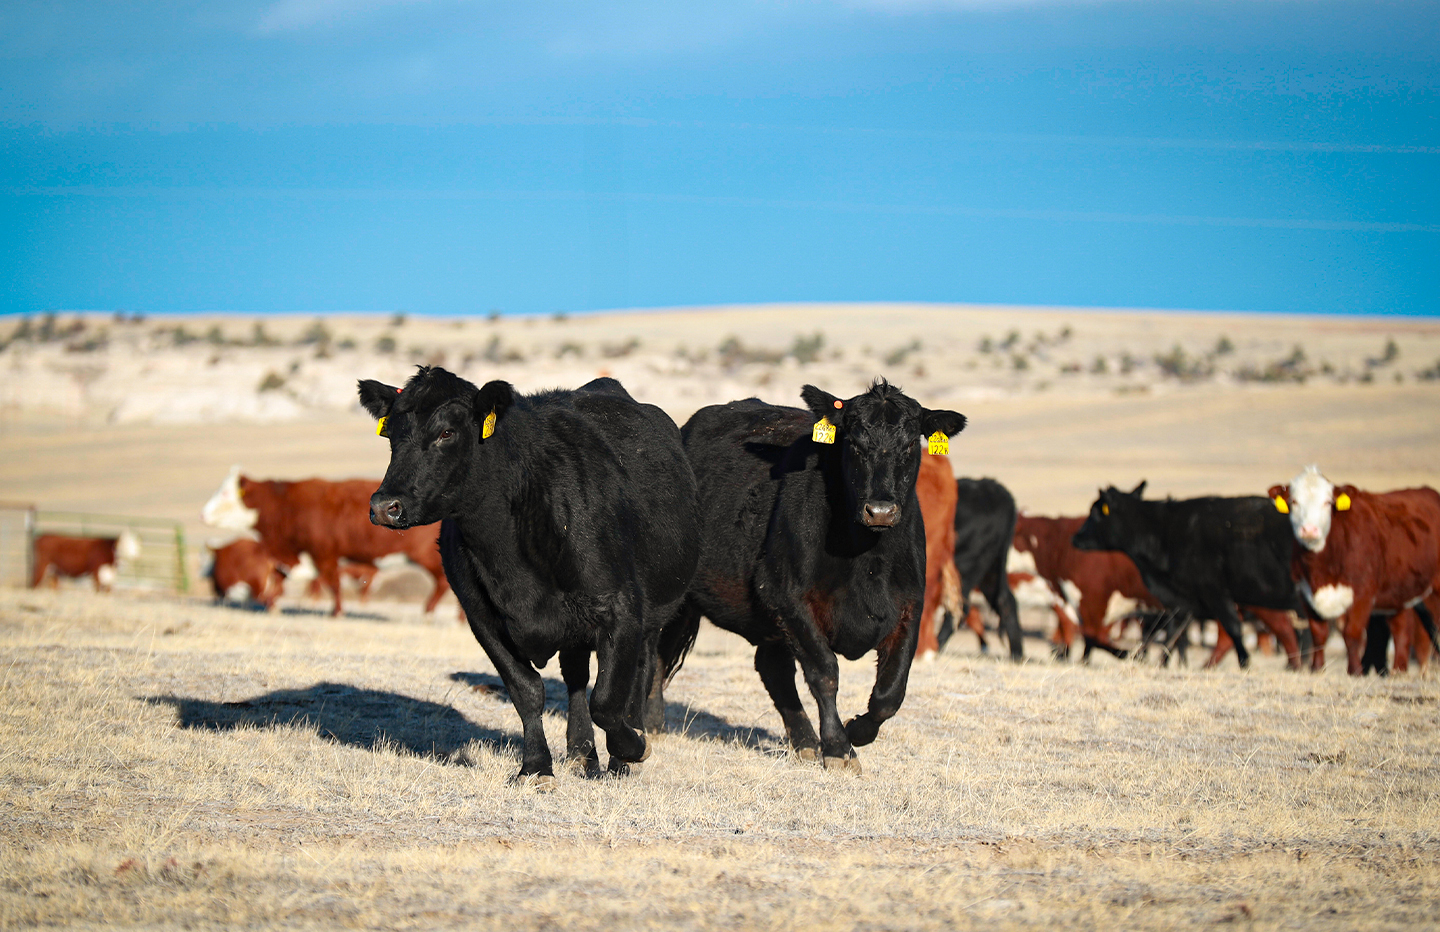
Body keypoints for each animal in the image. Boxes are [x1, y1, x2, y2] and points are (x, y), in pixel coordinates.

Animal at [202, 466, 449, 616]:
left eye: (225, 494)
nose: (204, 514)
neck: (286, 506)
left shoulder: (324, 554)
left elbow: (332, 584)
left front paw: (337, 612)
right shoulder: (293, 553)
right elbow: (279, 582)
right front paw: (271, 606)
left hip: (426, 556)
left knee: (443, 582)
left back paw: (430, 612)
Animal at [359, 367, 699, 784]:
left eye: (446, 432)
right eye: (390, 434)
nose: (384, 506)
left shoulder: (621, 609)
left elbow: (607, 700)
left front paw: (632, 748)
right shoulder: (483, 618)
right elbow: (527, 691)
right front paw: (536, 767)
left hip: (652, 615)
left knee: (636, 675)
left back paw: (620, 757)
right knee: (575, 676)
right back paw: (581, 752)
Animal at [655, 380, 966, 772]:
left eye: (911, 444)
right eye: (853, 443)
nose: (880, 510)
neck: (865, 557)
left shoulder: (910, 605)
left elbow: (891, 690)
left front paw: (857, 730)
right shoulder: (786, 595)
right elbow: (825, 672)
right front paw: (838, 747)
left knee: (771, 668)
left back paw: (803, 741)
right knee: (658, 650)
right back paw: (647, 722)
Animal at [1072, 482, 1307, 670]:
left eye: (1095, 512)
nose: (1075, 538)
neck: (1162, 532)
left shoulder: (1214, 592)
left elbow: (1232, 628)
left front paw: (1244, 664)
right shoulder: (1183, 599)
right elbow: (1173, 634)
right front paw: (1155, 662)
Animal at [1267, 466, 1440, 675]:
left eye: (1328, 502)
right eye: (1294, 501)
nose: (1309, 530)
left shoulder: (1362, 594)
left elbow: (1352, 633)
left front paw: (1355, 670)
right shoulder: (1305, 592)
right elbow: (1318, 633)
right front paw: (1317, 668)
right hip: (1398, 592)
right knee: (1402, 628)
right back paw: (1399, 669)